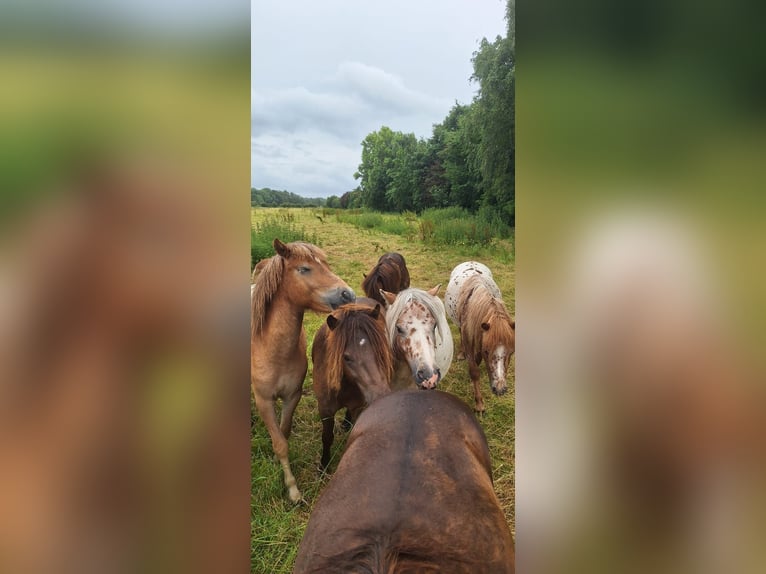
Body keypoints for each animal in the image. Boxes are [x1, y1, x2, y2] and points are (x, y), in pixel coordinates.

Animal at [254, 240, 358, 504]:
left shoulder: (293, 395)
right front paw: (293, 490)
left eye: (327, 264)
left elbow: (283, 435)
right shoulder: (263, 400)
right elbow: (280, 442)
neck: (272, 350)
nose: (349, 294)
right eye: (304, 269)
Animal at [314, 300, 396, 470]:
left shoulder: (359, 407)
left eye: (381, 348)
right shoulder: (325, 410)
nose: (381, 396)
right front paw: (324, 465)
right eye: (346, 357)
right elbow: (327, 437)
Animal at [448, 260, 520, 414]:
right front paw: (479, 404)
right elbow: (474, 371)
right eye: (487, 351)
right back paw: (461, 354)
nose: (499, 389)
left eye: (511, 352)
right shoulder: (470, 340)